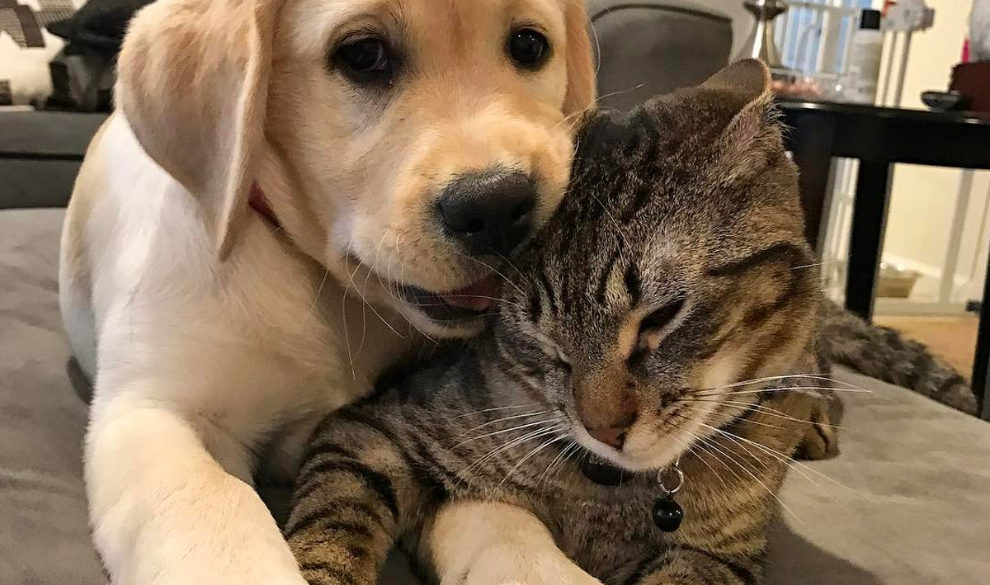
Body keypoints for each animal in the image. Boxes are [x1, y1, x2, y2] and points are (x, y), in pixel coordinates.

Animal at [60, 0, 596, 580]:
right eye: (362, 55)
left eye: (529, 45)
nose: (497, 208)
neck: (335, 292)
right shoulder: (153, 414)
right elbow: (217, 512)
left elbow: (499, 521)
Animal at [286, 60, 844, 585]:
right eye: (543, 340)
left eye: (661, 316)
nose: (605, 431)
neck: (618, 490)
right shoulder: (375, 430)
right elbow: (332, 525)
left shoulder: (721, 557)